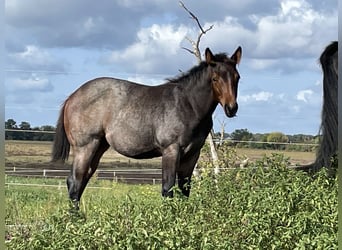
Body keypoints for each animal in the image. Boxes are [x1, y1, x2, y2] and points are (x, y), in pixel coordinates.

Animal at [52, 45, 242, 209]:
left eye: (237, 77)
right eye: (215, 78)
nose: (231, 108)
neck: (188, 104)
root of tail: (72, 96)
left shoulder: (192, 154)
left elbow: (184, 190)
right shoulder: (171, 150)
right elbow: (168, 189)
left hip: (99, 147)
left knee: (82, 180)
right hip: (85, 147)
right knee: (75, 182)